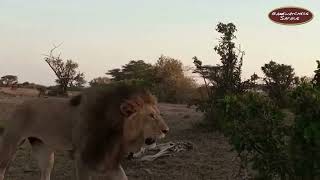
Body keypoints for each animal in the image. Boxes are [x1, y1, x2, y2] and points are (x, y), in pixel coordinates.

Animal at [0, 84, 170, 180]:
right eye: (151, 115)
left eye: (158, 114)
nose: (166, 130)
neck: (118, 131)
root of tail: (20, 104)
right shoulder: (82, 158)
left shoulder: (110, 160)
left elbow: (123, 177)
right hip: (10, 144)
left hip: (44, 150)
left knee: (45, 174)